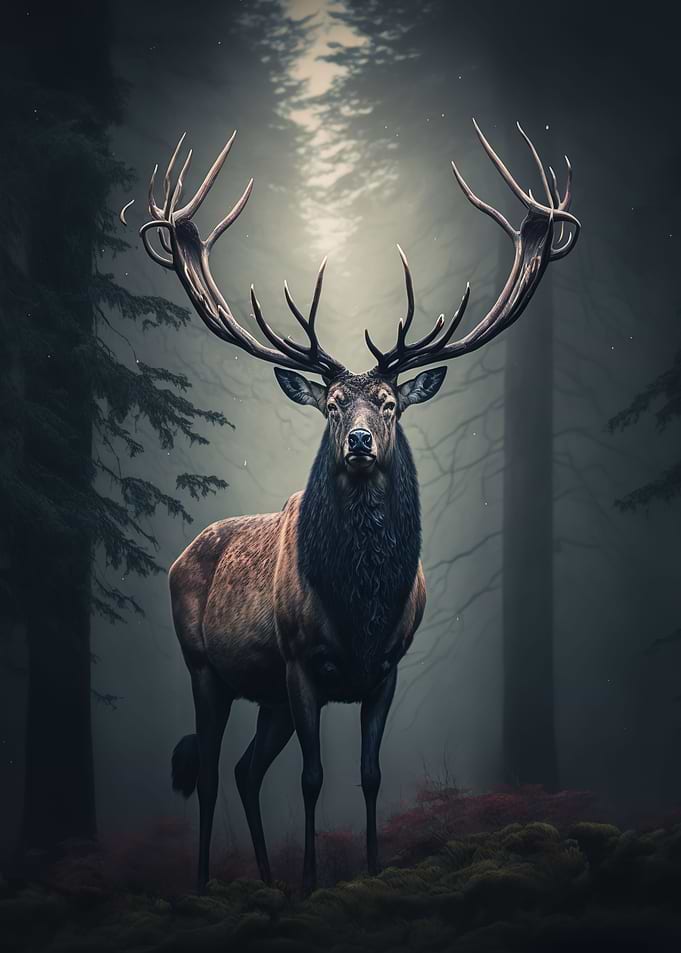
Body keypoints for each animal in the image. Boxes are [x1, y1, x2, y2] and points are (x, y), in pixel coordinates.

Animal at [133, 119, 579, 894]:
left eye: (392, 402)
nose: (362, 442)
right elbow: (314, 779)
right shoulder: (299, 662)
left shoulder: (387, 666)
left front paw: (368, 867)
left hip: (266, 696)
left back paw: (265, 879)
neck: (360, 605)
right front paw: (313, 878)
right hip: (206, 667)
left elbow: (369, 776)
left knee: (247, 771)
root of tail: (181, 556)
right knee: (213, 772)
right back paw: (207, 882)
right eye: (334, 403)